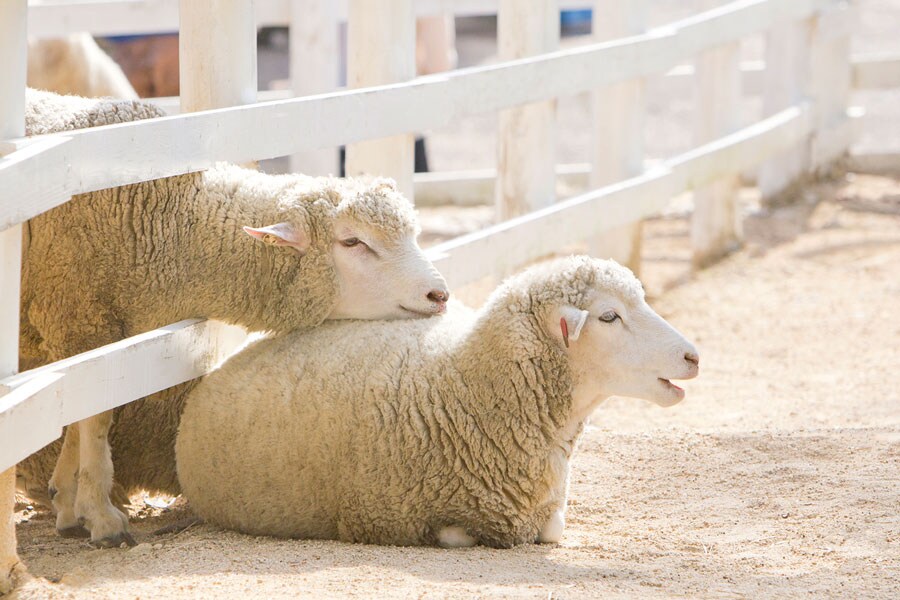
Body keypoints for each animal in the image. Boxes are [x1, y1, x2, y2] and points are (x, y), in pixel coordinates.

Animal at [20, 90, 454, 548]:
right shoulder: (78, 314)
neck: (160, 219)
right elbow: (95, 415)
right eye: (352, 241)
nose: (439, 295)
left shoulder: (94, 331)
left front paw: (68, 502)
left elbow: (82, 409)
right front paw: (100, 515)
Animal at [174, 255, 696, 548]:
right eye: (609, 316)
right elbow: (455, 534)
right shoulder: (379, 519)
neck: (463, 385)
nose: (693, 356)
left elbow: (552, 528)